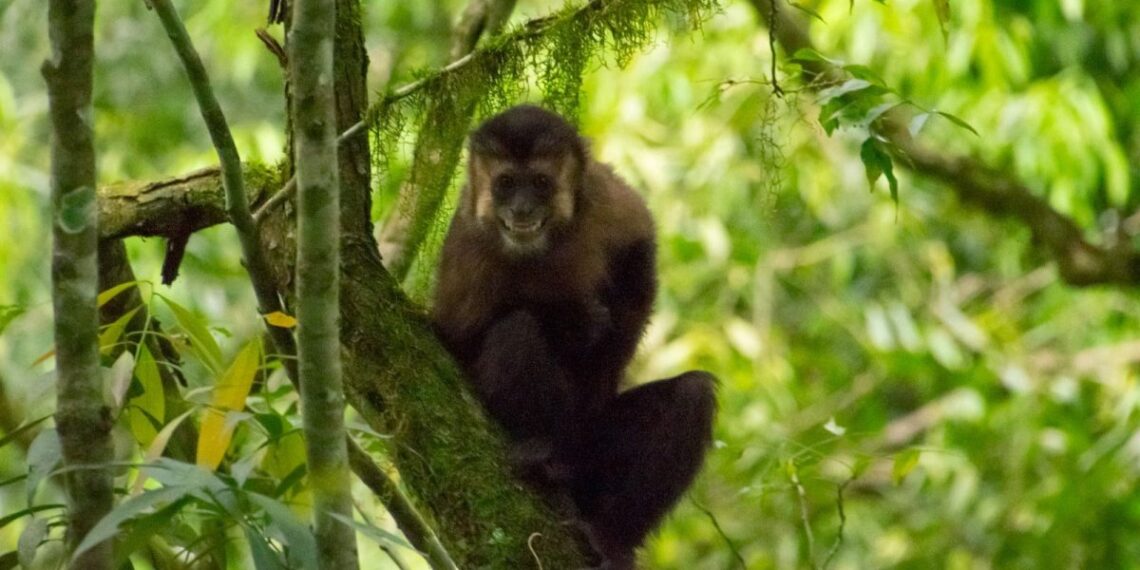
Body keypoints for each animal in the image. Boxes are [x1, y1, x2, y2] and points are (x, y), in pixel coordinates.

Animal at [432, 104, 717, 569]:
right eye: (506, 184)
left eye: (540, 184)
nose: (522, 209)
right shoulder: (468, 244)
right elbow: (454, 338)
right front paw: (574, 321)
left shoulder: (609, 200)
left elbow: (638, 267)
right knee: (518, 329)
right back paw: (540, 454)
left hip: (591, 457)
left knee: (692, 395)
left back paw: (610, 537)